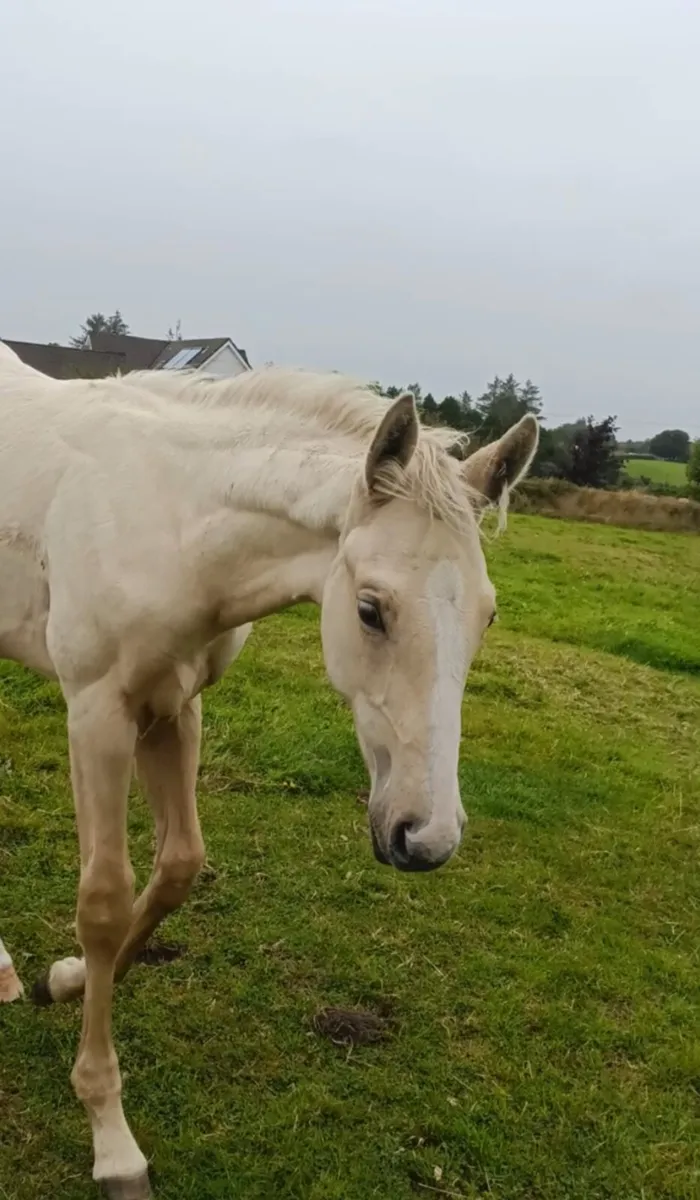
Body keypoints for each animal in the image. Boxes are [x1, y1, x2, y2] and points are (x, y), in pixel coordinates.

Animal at [0, 342, 538, 1197]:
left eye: (488, 614)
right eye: (370, 609)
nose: (425, 837)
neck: (173, 517)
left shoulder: (172, 704)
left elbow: (179, 867)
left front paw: (70, 978)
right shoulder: (97, 711)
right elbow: (105, 903)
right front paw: (111, 1138)